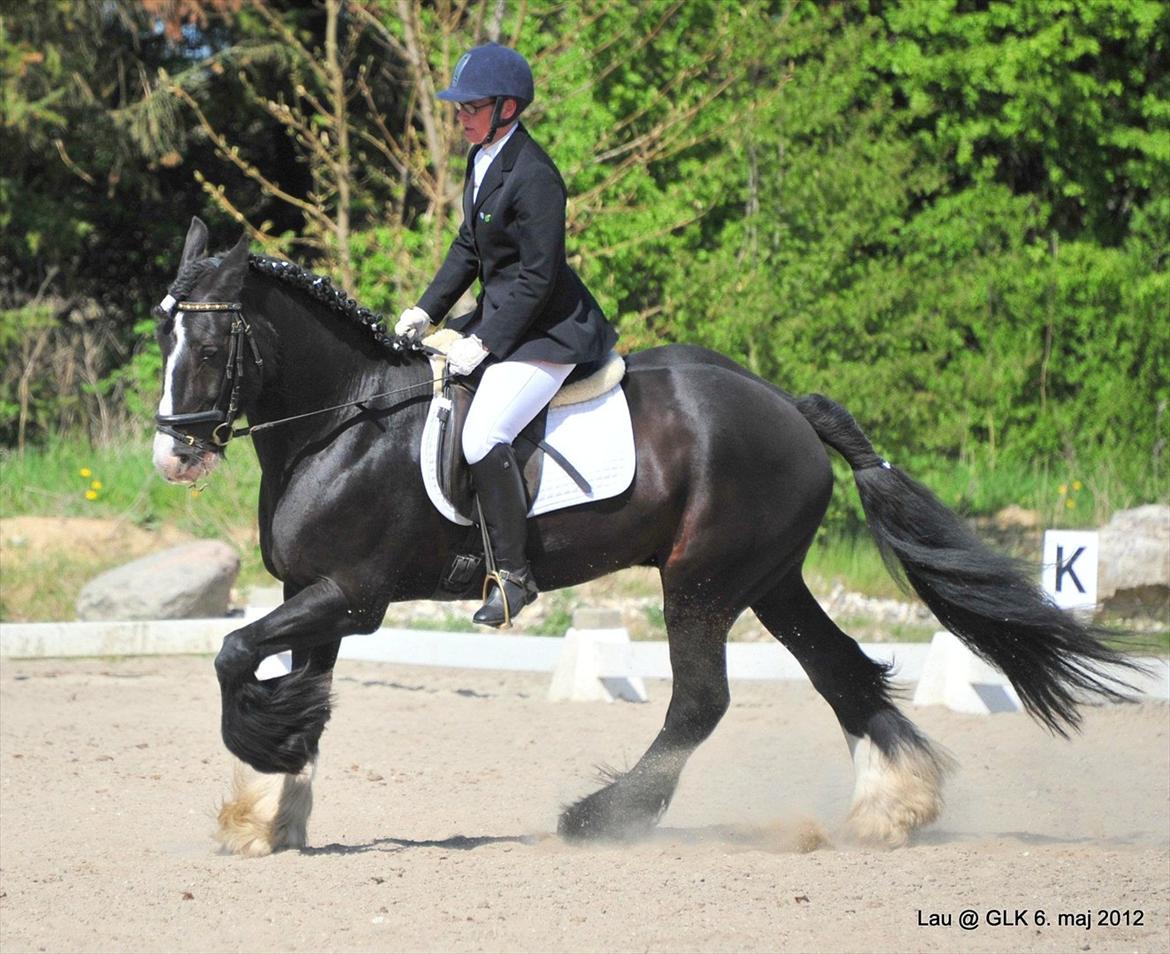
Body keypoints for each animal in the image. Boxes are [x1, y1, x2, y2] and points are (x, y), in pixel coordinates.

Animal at [150, 222, 1137, 856]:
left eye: (211, 347)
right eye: (165, 338)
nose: (172, 456)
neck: (342, 422)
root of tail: (788, 405)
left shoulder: (352, 595)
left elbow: (233, 655)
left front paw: (262, 765)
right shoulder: (310, 594)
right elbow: (297, 691)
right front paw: (273, 809)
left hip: (700, 581)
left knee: (701, 701)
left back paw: (600, 818)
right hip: (771, 581)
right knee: (842, 674)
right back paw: (894, 809)